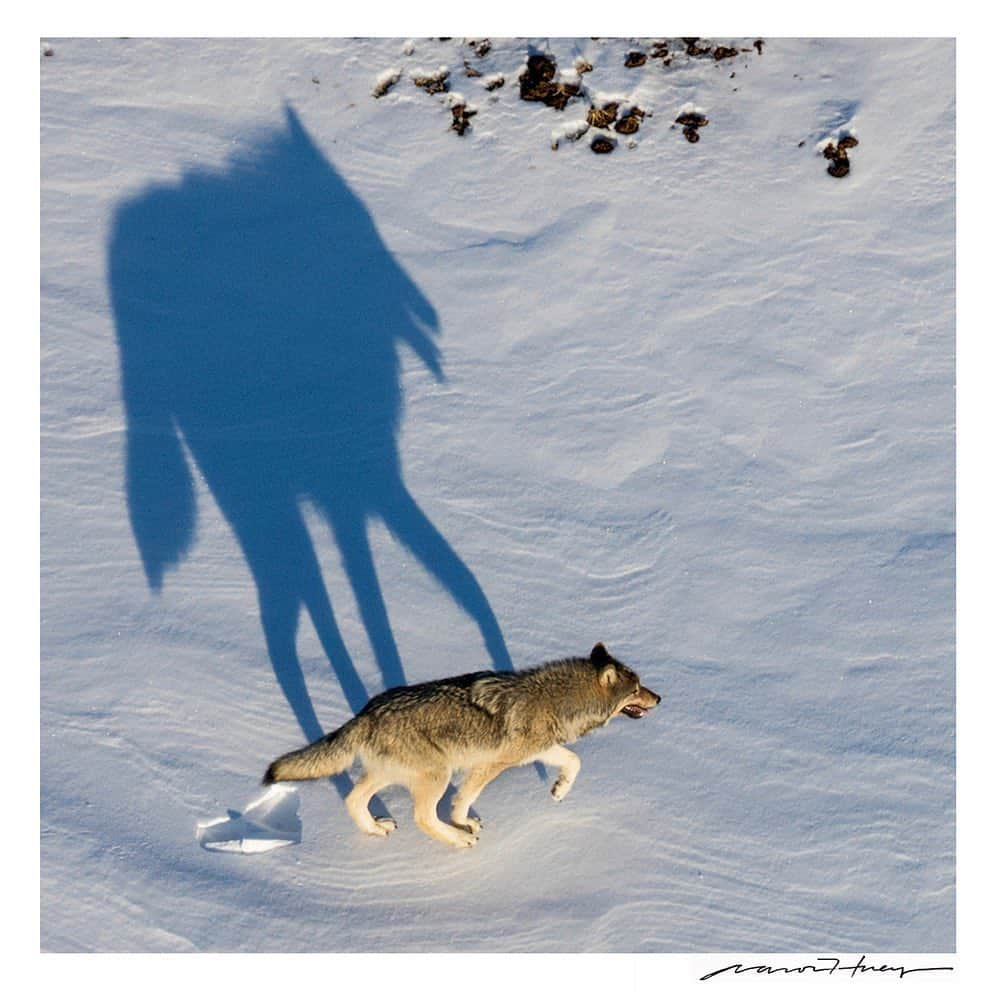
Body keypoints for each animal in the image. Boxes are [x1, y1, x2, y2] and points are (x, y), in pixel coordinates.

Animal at [262, 644, 660, 848]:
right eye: (637, 688)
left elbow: (573, 761)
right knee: (422, 817)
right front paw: (461, 823)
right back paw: (456, 840)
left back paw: (375, 829)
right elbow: (465, 797)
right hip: (438, 774)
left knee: (352, 799)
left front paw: (559, 790)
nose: (660, 697)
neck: (556, 700)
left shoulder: (538, 750)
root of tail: (367, 712)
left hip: (391, 776)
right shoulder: (491, 764)